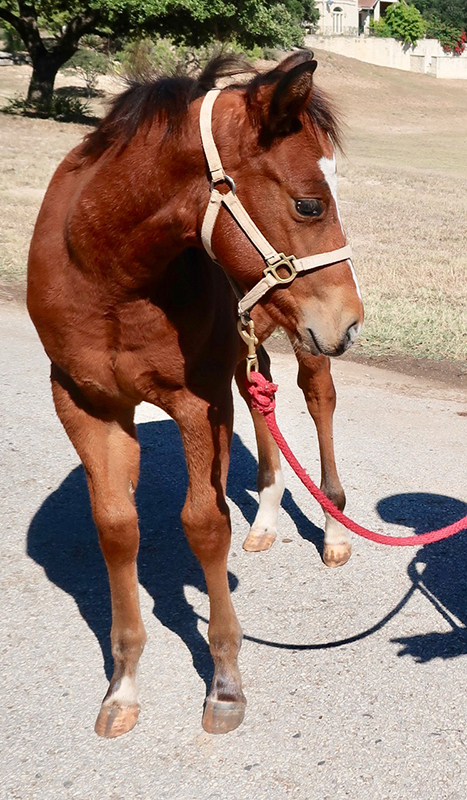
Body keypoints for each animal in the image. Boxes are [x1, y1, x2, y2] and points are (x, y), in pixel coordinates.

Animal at [28, 50, 366, 736]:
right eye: (309, 204)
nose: (351, 320)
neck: (106, 270)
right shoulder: (84, 402)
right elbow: (116, 527)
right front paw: (122, 688)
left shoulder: (197, 402)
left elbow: (205, 525)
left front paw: (226, 685)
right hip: (253, 340)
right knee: (262, 404)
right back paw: (265, 519)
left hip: (303, 341)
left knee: (316, 400)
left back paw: (334, 528)